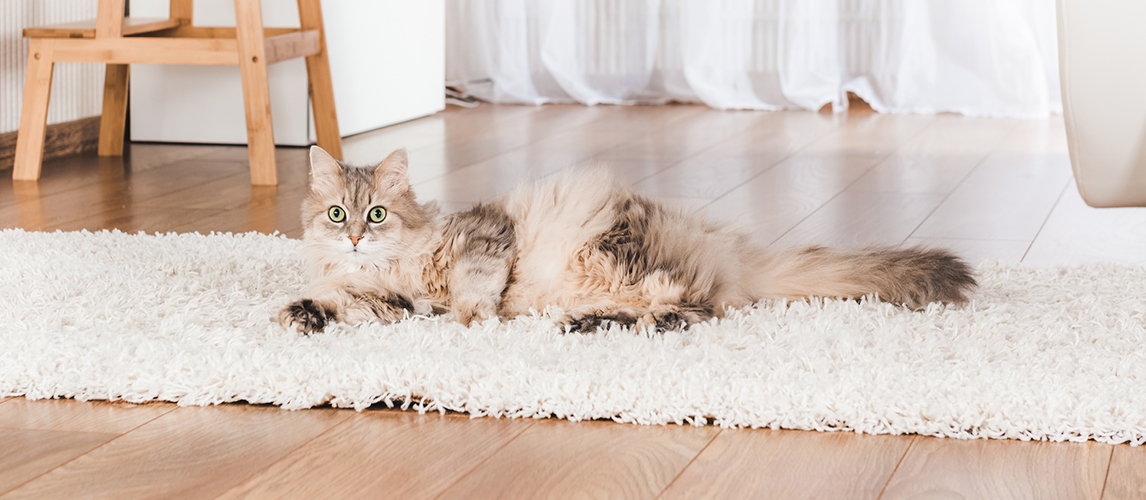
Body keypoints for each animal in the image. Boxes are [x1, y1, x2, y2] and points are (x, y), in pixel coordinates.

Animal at [277, 146, 976, 334]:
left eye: (375, 215)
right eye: (337, 215)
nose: (355, 241)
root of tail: (730, 255)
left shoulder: (486, 237)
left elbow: (475, 290)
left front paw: (474, 320)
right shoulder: (391, 300)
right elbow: (349, 305)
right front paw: (303, 313)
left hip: (621, 257)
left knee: (691, 310)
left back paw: (592, 325)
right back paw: (589, 322)